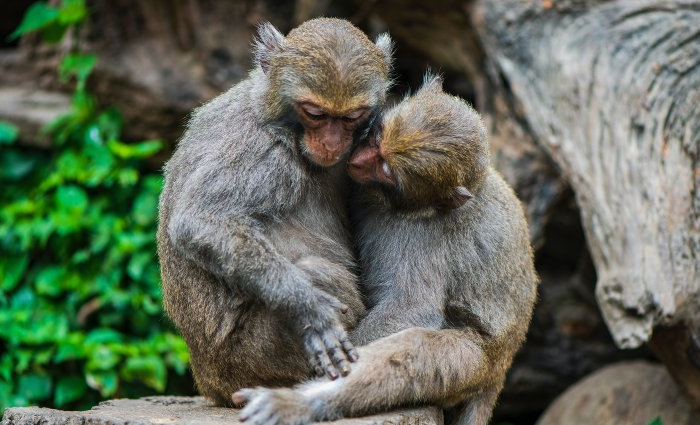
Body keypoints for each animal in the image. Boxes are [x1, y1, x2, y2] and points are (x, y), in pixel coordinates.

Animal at [156, 18, 394, 406]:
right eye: (315, 113)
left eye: (351, 117)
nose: (331, 143)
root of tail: (209, 380)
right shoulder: (262, 153)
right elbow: (202, 222)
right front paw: (308, 309)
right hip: (250, 358)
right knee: (321, 273)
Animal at [232, 76, 540, 424]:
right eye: (377, 138)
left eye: (385, 168)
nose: (356, 160)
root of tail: (502, 364)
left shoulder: (417, 233)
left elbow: (409, 309)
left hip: (475, 360)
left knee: (418, 352)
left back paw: (297, 403)